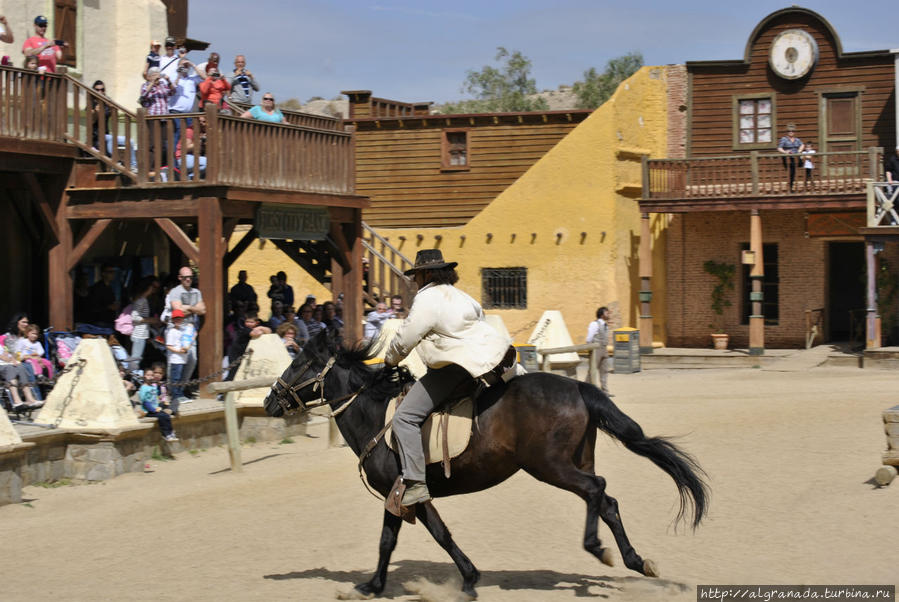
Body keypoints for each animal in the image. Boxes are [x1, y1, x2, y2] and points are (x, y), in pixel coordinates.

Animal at [264, 330, 708, 596]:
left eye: (299, 363)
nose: (270, 400)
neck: (375, 415)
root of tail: (580, 388)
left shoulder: (408, 490)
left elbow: (438, 534)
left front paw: (468, 577)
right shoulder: (399, 494)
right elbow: (389, 540)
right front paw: (372, 585)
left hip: (551, 466)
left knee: (595, 491)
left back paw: (596, 547)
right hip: (575, 461)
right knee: (606, 501)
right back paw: (634, 560)